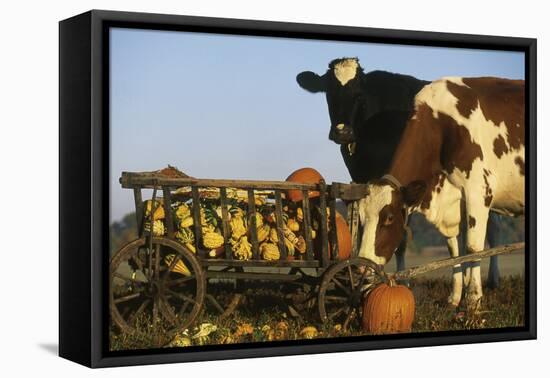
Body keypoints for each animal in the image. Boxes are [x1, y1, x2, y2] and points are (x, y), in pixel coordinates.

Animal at [358, 77, 528, 310]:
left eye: (389, 218)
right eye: (360, 218)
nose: (362, 269)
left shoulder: (478, 191)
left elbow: (473, 247)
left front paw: (473, 300)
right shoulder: (455, 202)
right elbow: (454, 249)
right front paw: (455, 297)